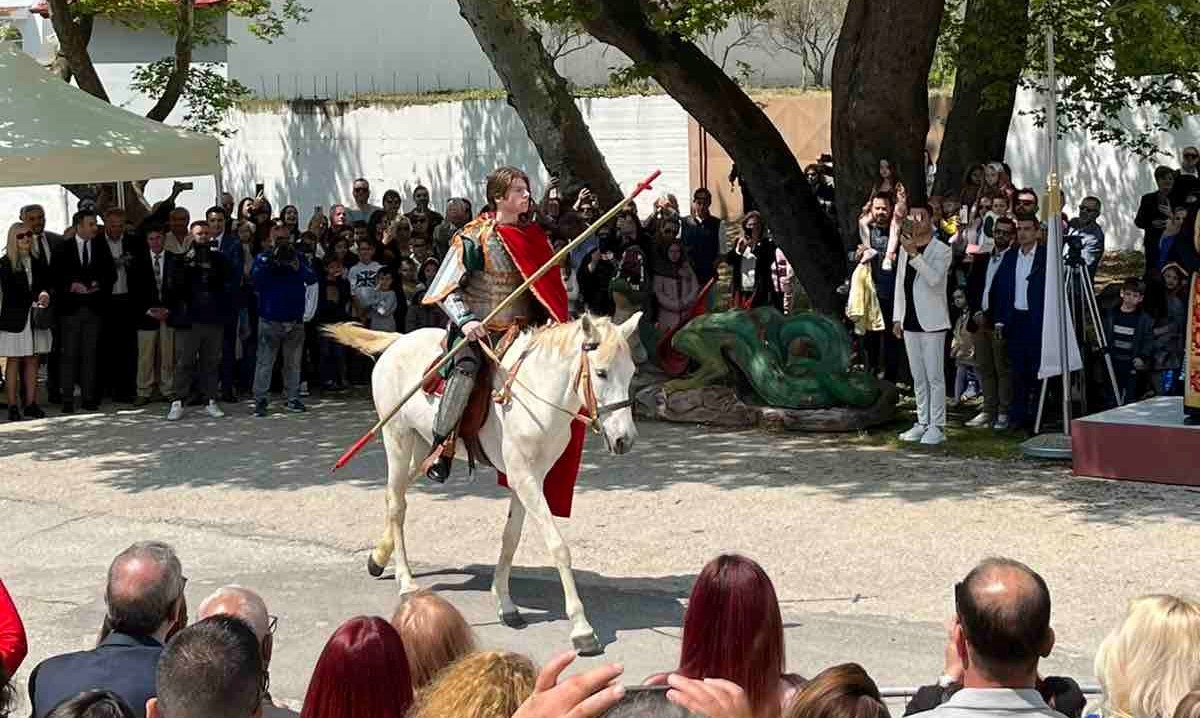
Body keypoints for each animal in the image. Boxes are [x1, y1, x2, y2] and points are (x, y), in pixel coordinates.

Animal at [324, 312, 643, 657]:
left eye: (631, 372)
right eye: (601, 372)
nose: (624, 440)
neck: (535, 392)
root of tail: (399, 341)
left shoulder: (530, 476)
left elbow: (511, 538)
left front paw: (505, 603)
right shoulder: (524, 476)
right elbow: (557, 545)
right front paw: (582, 629)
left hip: (423, 448)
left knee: (398, 493)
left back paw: (379, 557)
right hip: (397, 436)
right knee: (397, 503)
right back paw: (406, 583)